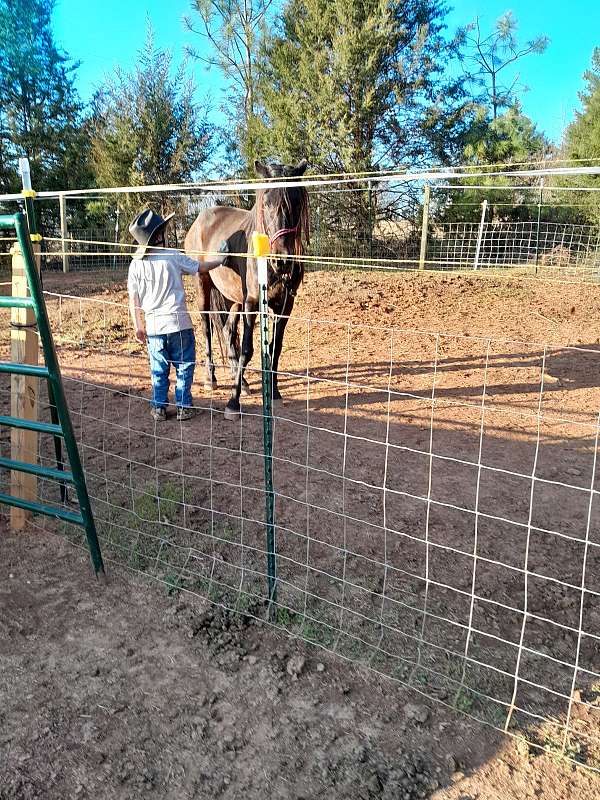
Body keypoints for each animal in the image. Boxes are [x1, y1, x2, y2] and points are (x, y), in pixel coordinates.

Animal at [185, 157, 310, 418]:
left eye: (295, 202)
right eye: (266, 202)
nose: (281, 260)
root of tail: (201, 218)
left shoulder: (285, 306)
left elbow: (275, 347)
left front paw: (274, 392)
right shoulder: (252, 303)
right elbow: (247, 349)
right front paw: (233, 402)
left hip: (234, 300)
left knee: (227, 331)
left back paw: (240, 380)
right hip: (204, 287)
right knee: (207, 329)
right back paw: (211, 378)